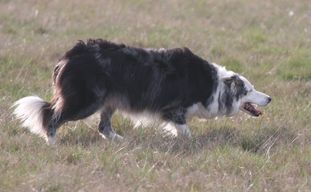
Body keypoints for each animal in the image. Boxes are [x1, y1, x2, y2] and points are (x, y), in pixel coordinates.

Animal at [12, 39, 270, 144]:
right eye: (249, 90)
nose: (269, 98)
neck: (213, 85)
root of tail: (70, 55)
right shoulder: (174, 109)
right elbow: (185, 131)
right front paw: (192, 142)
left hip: (109, 100)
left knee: (103, 127)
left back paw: (120, 141)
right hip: (87, 101)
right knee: (52, 116)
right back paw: (51, 142)